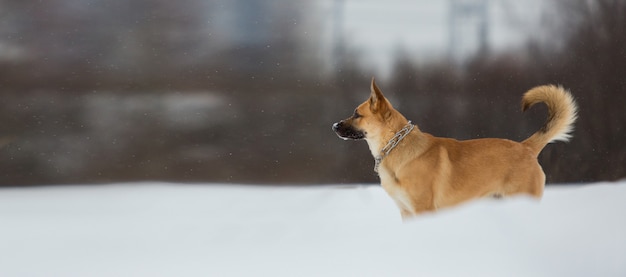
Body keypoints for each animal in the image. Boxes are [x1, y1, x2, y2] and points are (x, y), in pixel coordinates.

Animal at [332, 78, 576, 218]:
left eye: (356, 114)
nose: (333, 126)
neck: (397, 146)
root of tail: (526, 147)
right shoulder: (407, 212)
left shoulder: (424, 210)